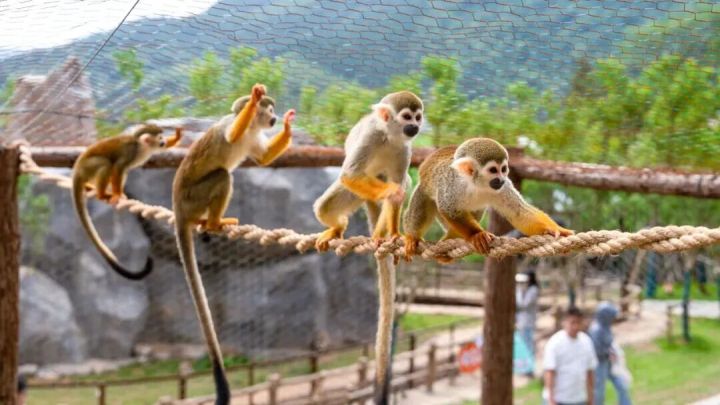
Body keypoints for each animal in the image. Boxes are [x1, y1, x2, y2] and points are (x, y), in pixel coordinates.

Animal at [72, 124, 182, 280]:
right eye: (159, 138)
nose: (163, 141)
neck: (142, 147)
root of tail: (77, 170)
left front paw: (177, 137)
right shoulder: (130, 151)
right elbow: (118, 167)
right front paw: (117, 194)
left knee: (119, 170)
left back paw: (92, 188)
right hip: (88, 167)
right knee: (107, 164)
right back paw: (102, 194)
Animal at [172, 84, 295, 405]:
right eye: (268, 110)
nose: (274, 118)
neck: (252, 128)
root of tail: (177, 206)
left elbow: (263, 159)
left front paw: (289, 126)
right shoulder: (234, 126)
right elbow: (229, 137)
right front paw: (253, 100)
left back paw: (210, 224)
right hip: (193, 197)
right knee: (222, 175)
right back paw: (216, 222)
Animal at [312, 91, 424, 405]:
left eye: (418, 116)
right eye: (406, 117)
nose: (415, 126)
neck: (390, 136)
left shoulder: (405, 149)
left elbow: (400, 184)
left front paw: (396, 232)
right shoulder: (372, 137)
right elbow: (351, 174)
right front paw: (390, 193)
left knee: (400, 182)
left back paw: (384, 235)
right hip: (356, 195)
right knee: (332, 199)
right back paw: (338, 227)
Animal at [403, 137, 573, 261]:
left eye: (503, 169)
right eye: (493, 170)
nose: (501, 179)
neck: (476, 184)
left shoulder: (503, 188)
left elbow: (518, 211)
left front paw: (554, 228)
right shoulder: (451, 184)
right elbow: (449, 209)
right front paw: (476, 235)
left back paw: (452, 237)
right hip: (425, 189)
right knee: (422, 205)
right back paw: (412, 236)